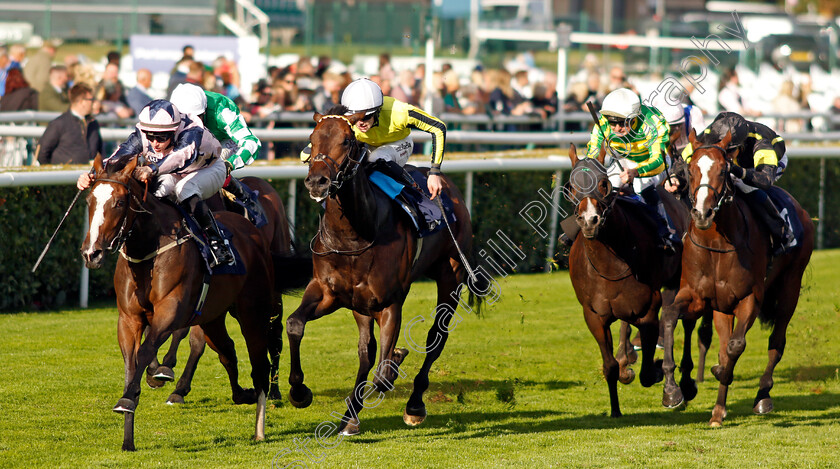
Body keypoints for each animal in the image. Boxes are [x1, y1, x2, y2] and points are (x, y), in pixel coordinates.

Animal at [81, 154, 278, 450]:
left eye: (119, 203)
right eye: (89, 201)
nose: (91, 253)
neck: (148, 251)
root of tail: (251, 230)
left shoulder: (170, 311)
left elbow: (146, 351)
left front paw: (134, 394)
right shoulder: (128, 319)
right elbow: (131, 363)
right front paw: (128, 437)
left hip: (253, 312)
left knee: (259, 363)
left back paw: (260, 427)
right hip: (212, 318)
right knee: (226, 350)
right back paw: (243, 394)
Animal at [288, 108, 486, 434]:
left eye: (347, 140)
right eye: (311, 138)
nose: (317, 181)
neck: (355, 234)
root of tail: (451, 189)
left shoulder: (389, 303)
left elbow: (382, 375)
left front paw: (395, 362)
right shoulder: (328, 292)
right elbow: (295, 324)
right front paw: (299, 392)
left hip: (451, 277)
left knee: (436, 337)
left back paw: (414, 405)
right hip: (360, 306)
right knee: (366, 351)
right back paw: (350, 418)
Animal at [568, 144, 692, 416]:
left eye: (603, 183)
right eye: (571, 187)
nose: (590, 220)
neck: (610, 264)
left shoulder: (648, 310)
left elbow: (647, 373)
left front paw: (660, 373)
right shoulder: (594, 316)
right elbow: (610, 366)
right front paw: (615, 409)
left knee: (678, 320)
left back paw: (680, 386)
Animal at [664, 130, 812, 426]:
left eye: (723, 170)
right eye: (690, 168)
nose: (702, 214)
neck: (716, 243)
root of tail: (802, 211)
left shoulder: (750, 298)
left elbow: (735, 346)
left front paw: (719, 372)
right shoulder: (696, 297)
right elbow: (671, 318)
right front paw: (672, 391)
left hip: (790, 288)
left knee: (776, 343)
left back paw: (763, 396)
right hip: (722, 307)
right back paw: (718, 411)